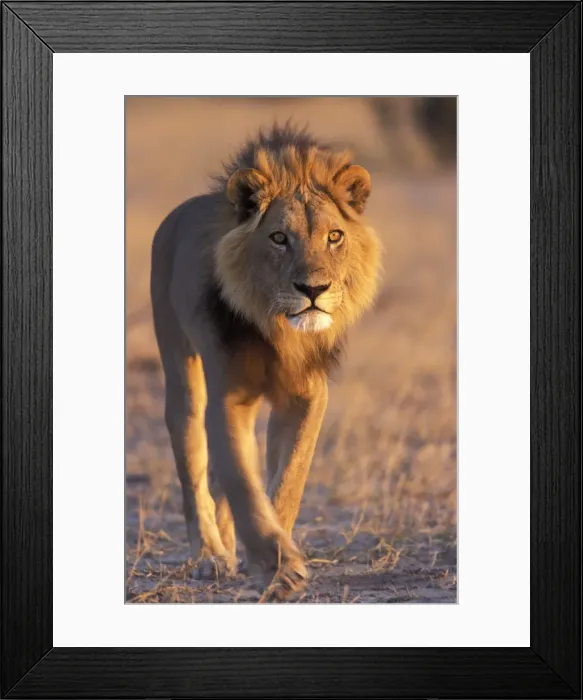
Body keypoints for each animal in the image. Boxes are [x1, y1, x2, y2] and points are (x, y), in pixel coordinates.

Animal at [150, 124, 380, 599]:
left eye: (334, 236)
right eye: (279, 238)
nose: (313, 289)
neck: (280, 332)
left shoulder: (308, 397)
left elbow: (288, 478)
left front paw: (276, 558)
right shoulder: (227, 398)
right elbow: (241, 479)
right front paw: (279, 566)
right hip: (181, 373)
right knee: (194, 469)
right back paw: (210, 556)